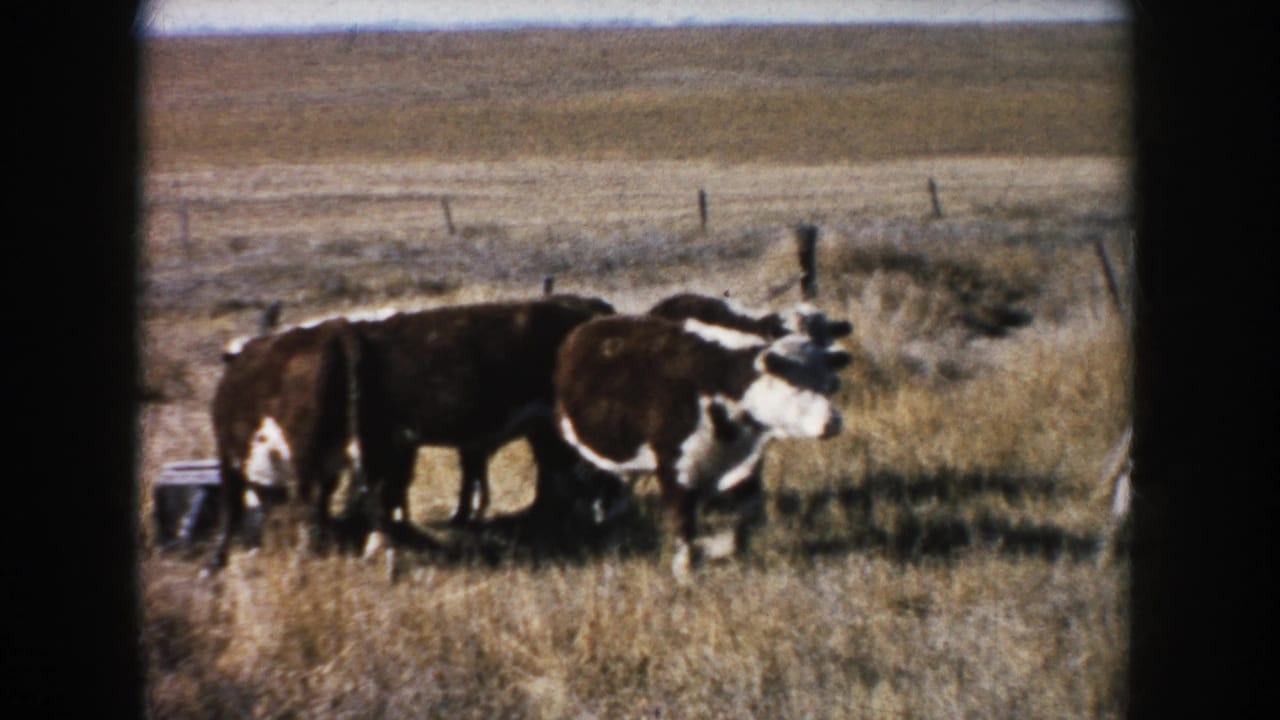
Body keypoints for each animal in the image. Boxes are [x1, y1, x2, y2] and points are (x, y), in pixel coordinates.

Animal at [555, 309, 853, 581]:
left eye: (829, 384)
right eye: (794, 385)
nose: (833, 422)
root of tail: (586, 329)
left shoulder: (744, 467)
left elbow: (746, 522)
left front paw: (714, 549)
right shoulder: (675, 468)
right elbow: (684, 521)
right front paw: (685, 569)